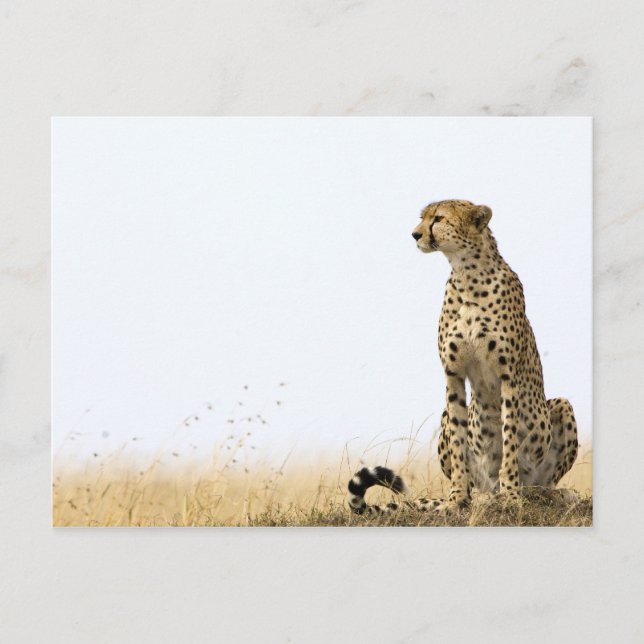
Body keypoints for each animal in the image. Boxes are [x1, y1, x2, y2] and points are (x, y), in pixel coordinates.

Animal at [348, 199, 578, 515]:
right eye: (423, 217)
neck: (468, 273)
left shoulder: (508, 377)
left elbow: (509, 438)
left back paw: (544, 494)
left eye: (439, 218)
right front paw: (458, 497)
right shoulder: (453, 375)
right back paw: (481, 496)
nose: (415, 234)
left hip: (561, 408)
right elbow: (459, 440)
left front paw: (510, 493)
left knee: (544, 484)